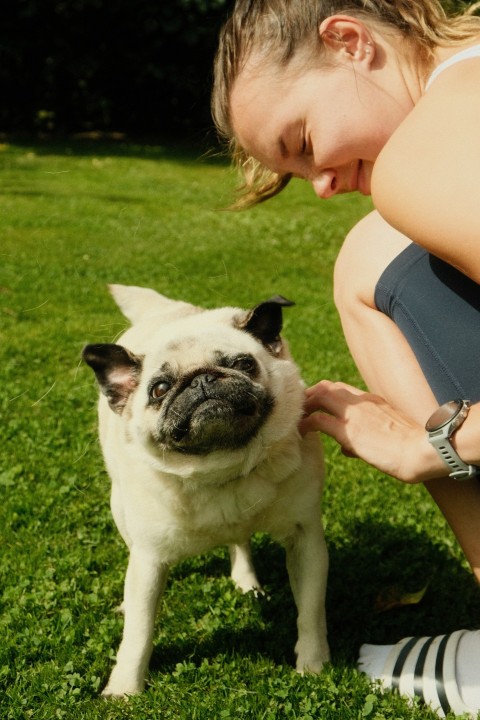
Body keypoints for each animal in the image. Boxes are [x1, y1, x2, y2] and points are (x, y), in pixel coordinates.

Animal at [82, 286, 330, 696]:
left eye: (245, 364)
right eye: (159, 389)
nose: (201, 380)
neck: (220, 467)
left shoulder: (305, 540)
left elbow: (310, 610)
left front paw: (313, 664)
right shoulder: (149, 561)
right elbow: (138, 633)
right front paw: (124, 688)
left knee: (240, 543)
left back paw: (246, 581)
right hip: (120, 510)